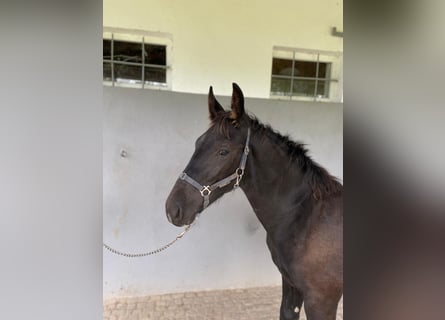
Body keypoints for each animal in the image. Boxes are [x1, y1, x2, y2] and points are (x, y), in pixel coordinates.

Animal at [165, 84, 342, 318]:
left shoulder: (322, 300)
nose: (173, 209)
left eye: (223, 151)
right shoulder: (291, 285)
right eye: (197, 143)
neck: (307, 217)